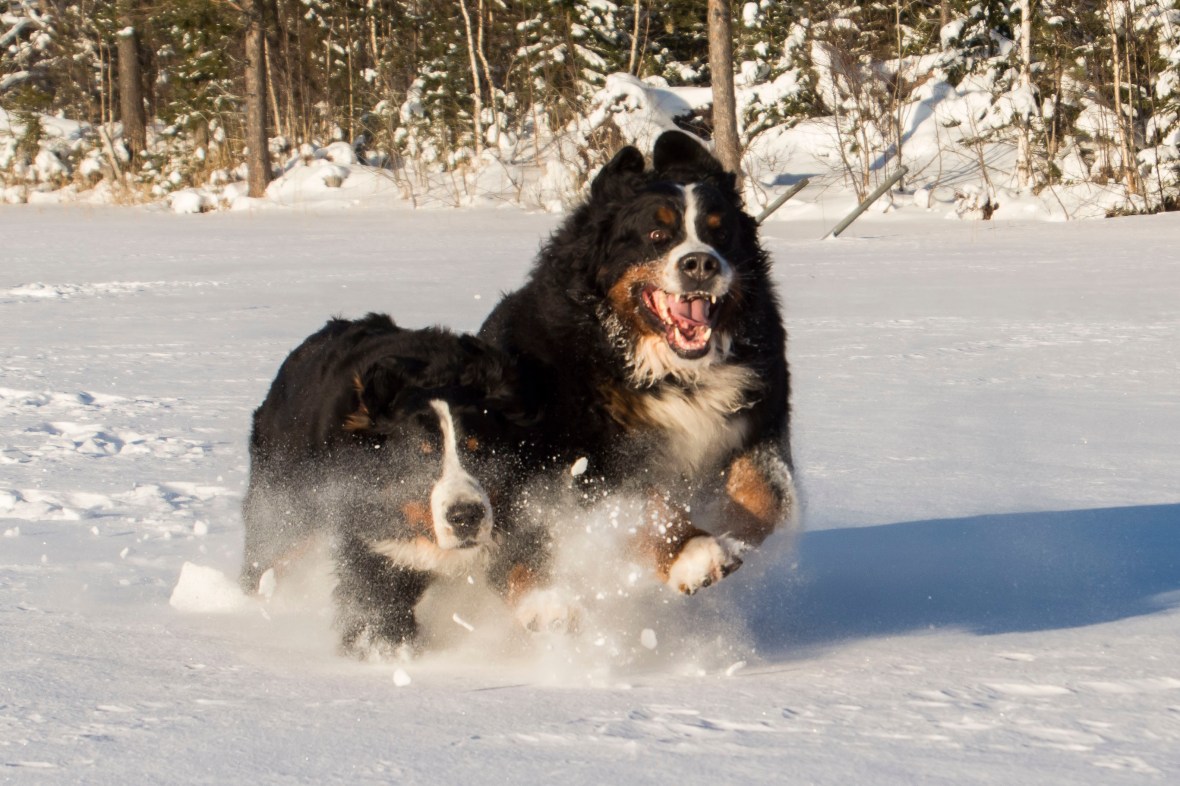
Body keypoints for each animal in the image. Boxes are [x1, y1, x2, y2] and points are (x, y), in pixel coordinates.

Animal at [240, 313, 546, 658]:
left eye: (479, 449)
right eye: (420, 457)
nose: (466, 516)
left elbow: (520, 569)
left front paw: (550, 613)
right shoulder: (375, 543)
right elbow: (379, 608)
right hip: (285, 507)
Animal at [479, 130, 797, 597]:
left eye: (720, 234)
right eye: (656, 233)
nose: (701, 263)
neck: (668, 371)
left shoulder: (760, 411)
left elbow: (768, 492)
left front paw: (732, 532)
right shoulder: (587, 458)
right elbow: (645, 504)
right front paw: (694, 552)